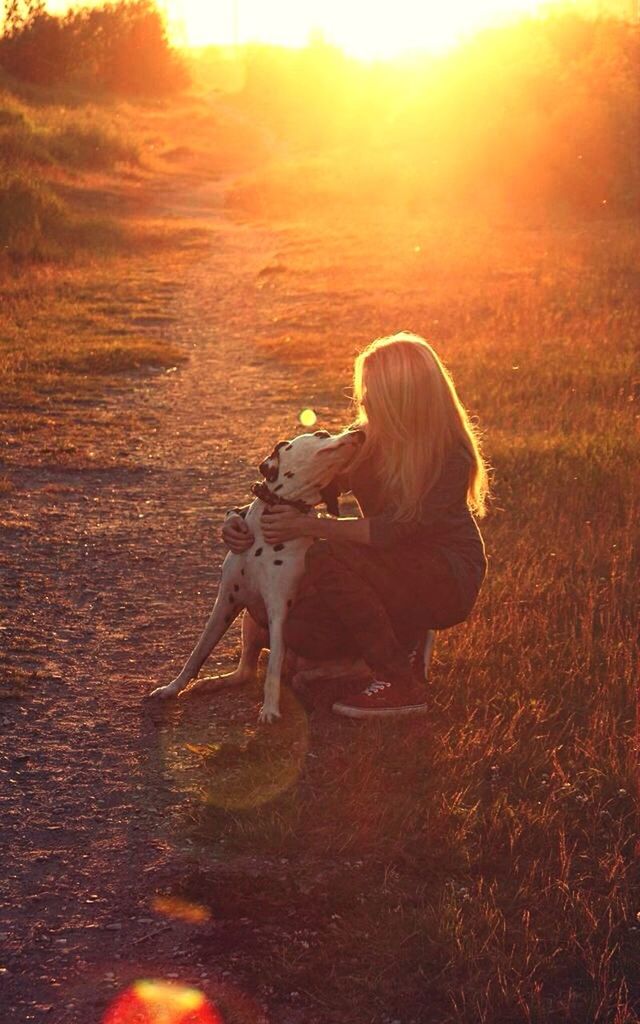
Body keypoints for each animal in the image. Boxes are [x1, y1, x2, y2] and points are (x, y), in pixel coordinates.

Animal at [146, 428, 362, 724]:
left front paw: (269, 710)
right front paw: (172, 688)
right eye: (321, 433)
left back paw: (305, 678)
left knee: (322, 671)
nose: (359, 432)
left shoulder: (279, 611)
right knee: (245, 672)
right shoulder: (226, 602)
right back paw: (213, 682)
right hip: (249, 622)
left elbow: (271, 670)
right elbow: (198, 652)